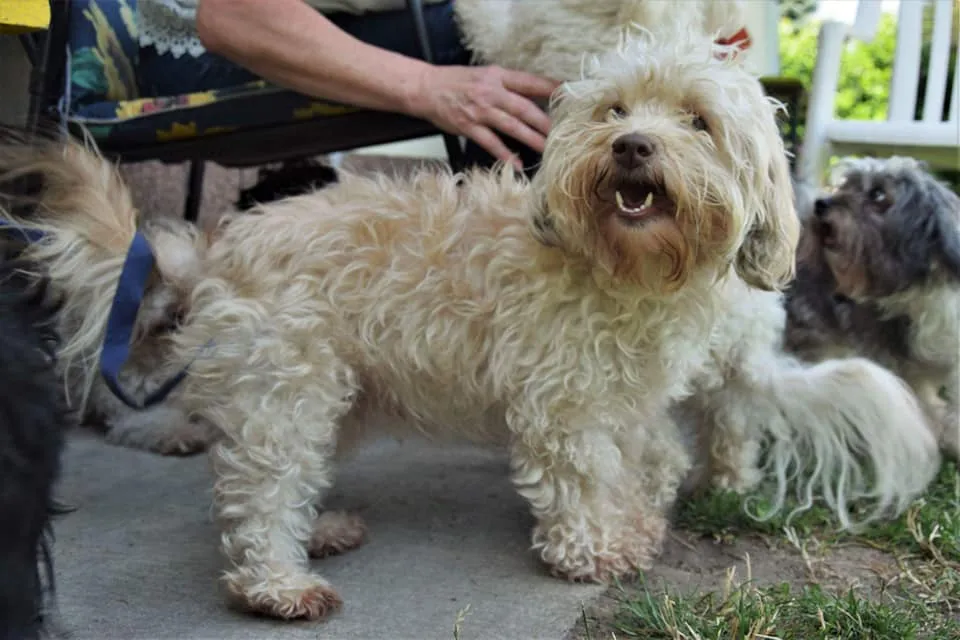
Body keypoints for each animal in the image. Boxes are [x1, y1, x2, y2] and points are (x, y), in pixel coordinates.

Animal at [0, 32, 940, 624]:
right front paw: (592, 550)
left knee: (267, 477)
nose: (633, 147)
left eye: (697, 120)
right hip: (289, 389)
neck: (625, 268)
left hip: (333, 397)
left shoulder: (631, 400)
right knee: (258, 491)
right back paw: (276, 583)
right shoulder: (564, 401)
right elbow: (581, 479)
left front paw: (636, 524)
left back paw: (321, 530)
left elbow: (643, 463)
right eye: (613, 111)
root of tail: (220, 246)